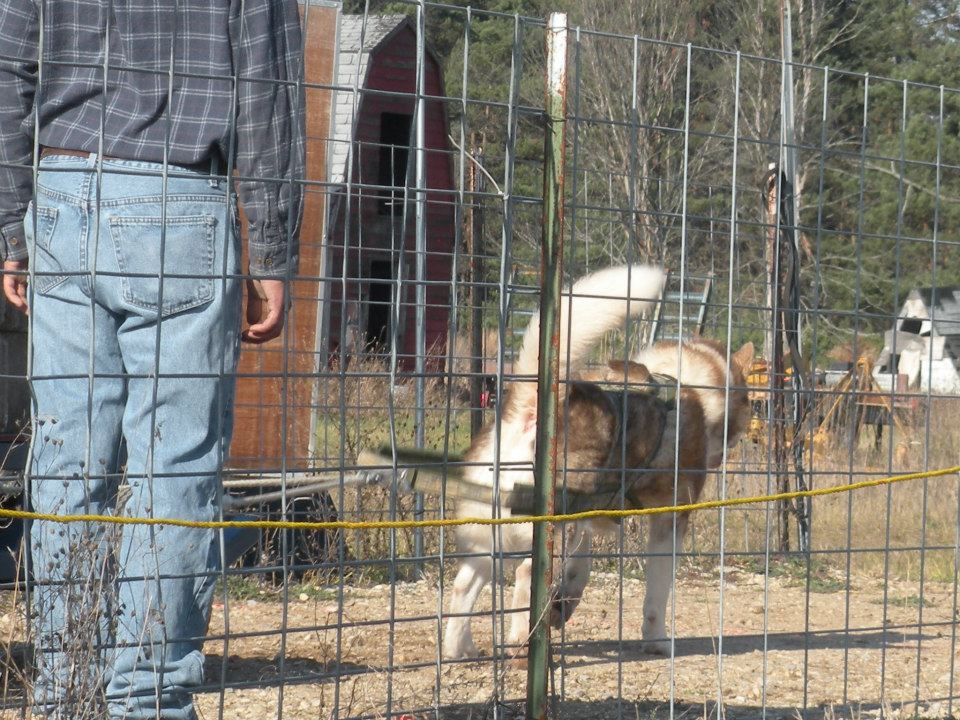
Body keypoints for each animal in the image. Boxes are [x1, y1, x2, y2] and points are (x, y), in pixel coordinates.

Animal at [438, 264, 752, 660]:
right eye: (749, 401)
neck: (688, 385)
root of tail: (530, 408)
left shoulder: (588, 517)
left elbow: (579, 567)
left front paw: (565, 602)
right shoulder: (669, 520)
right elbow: (657, 594)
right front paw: (657, 640)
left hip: (491, 533)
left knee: (465, 584)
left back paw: (459, 647)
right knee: (524, 576)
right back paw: (523, 642)